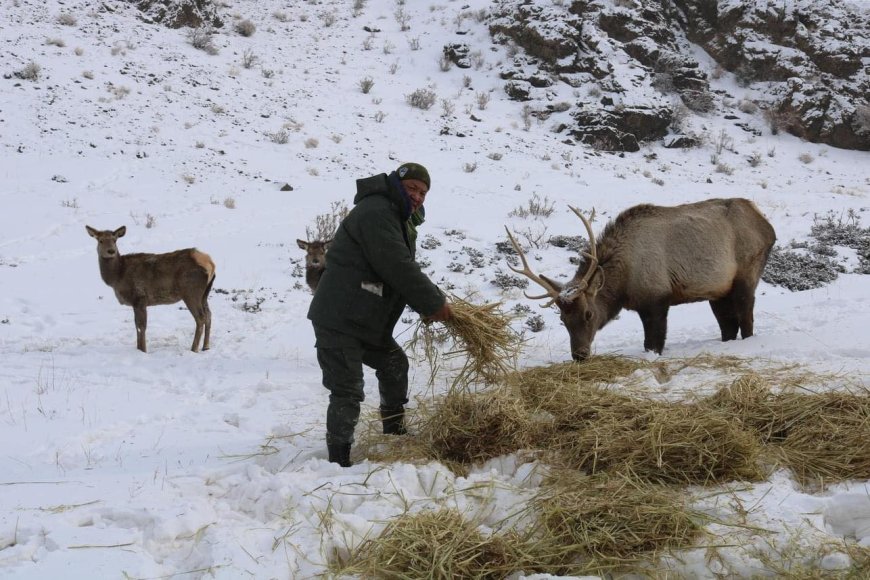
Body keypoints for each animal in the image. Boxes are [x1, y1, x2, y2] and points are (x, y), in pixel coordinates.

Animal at [87, 225, 218, 354]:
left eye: (114, 240)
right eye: (100, 240)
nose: (111, 251)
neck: (117, 277)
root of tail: (210, 263)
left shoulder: (139, 297)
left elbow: (141, 326)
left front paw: (143, 350)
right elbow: (137, 325)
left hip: (191, 291)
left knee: (200, 317)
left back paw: (194, 349)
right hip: (205, 293)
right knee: (209, 315)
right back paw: (206, 346)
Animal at [508, 201, 780, 362]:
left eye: (588, 314)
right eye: (563, 319)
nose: (580, 355)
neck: (623, 284)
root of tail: (768, 226)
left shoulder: (658, 299)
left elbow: (654, 343)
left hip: (746, 274)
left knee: (747, 320)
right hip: (718, 290)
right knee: (728, 326)